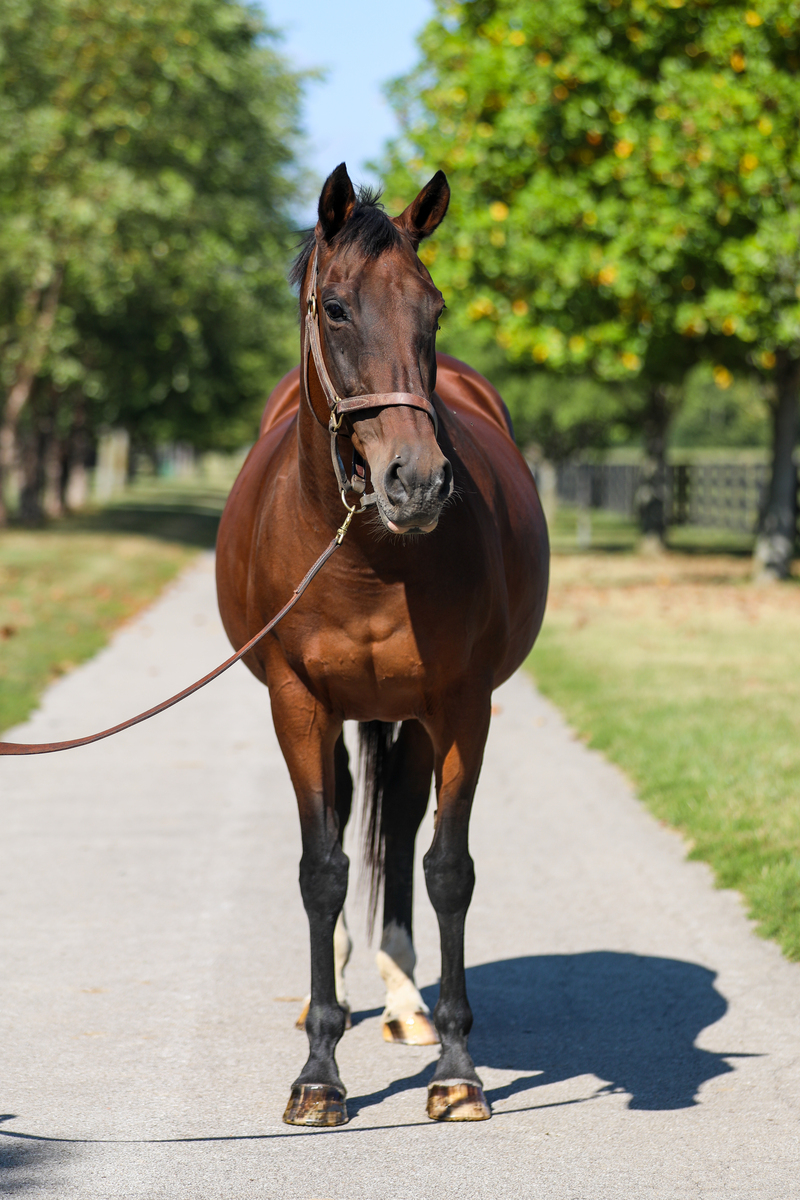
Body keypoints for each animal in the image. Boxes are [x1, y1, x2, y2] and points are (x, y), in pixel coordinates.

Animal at [215, 163, 549, 1127]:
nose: (419, 481)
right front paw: (319, 1074)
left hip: (415, 715)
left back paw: (406, 1001)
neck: (366, 556)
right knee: (347, 823)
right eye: (334, 308)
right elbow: (321, 870)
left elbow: (447, 869)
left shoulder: (462, 705)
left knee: (397, 823)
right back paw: (323, 1000)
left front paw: (458, 1069)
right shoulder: (297, 706)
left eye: (433, 310)